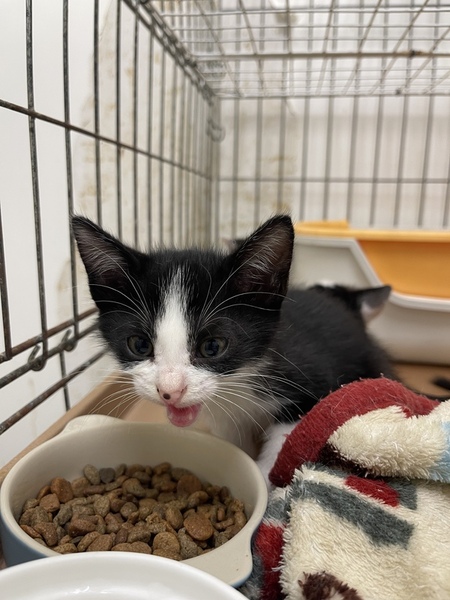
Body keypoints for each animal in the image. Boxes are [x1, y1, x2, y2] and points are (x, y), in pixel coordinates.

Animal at [72, 214, 396, 480]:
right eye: (139, 344)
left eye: (213, 346)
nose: (169, 391)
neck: (241, 380)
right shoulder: (223, 416)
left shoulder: (311, 382)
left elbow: (289, 442)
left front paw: (266, 486)